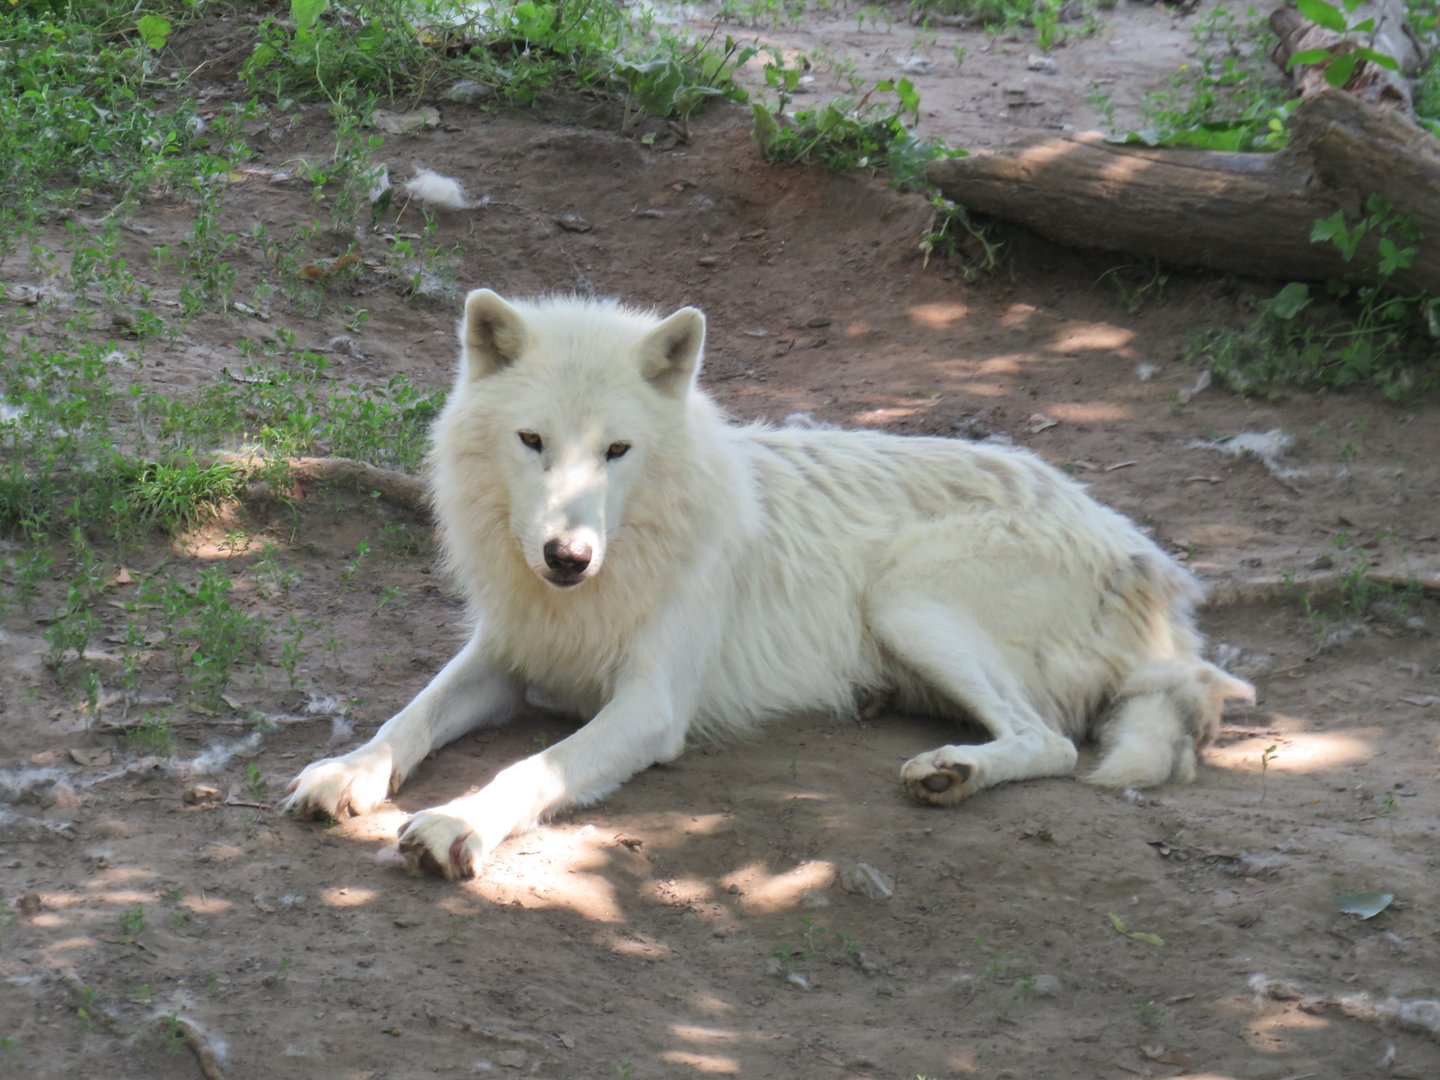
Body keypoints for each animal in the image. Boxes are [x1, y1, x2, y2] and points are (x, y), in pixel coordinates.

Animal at [284, 289, 1254, 879]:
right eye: (532, 442)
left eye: (616, 451)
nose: (567, 557)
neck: (608, 574)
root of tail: (1143, 554)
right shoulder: (503, 657)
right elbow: (406, 719)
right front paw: (346, 773)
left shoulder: (650, 707)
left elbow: (534, 766)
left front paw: (458, 824)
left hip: (904, 598)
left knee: (1049, 740)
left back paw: (950, 772)